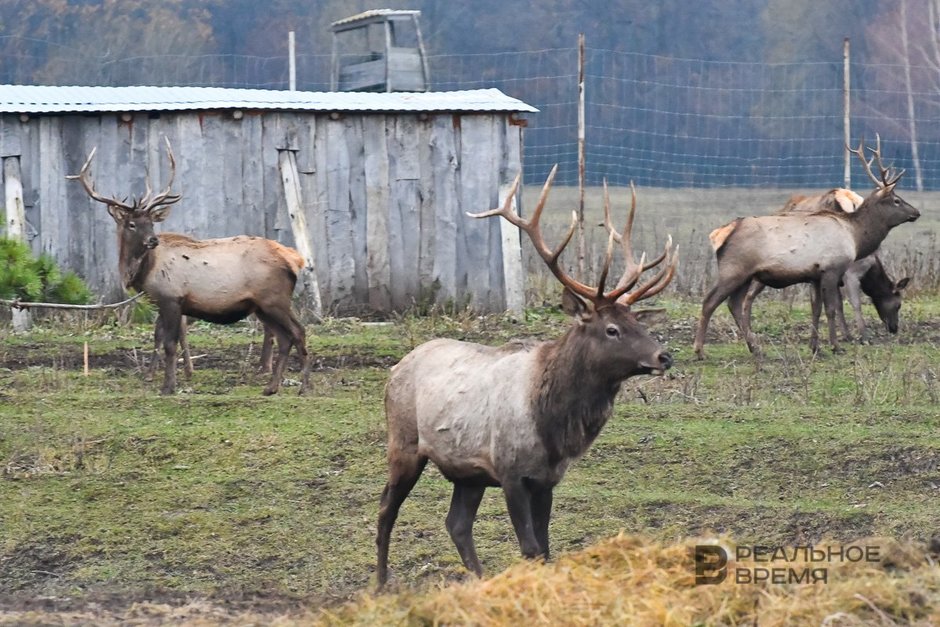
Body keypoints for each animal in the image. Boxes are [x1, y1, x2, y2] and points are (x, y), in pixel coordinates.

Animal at [70, 141, 312, 398]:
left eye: (151, 223)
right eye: (132, 224)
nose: (152, 240)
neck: (144, 270)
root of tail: (295, 260)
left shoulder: (171, 298)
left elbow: (169, 344)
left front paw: (168, 386)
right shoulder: (164, 303)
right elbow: (161, 338)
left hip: (275, 300)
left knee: (299, 332)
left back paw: (304, 387)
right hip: (262, 306)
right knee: (285, 337)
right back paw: (271, 387)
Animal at [374, 168, 676, 588]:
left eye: (638, 322)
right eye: (612, 329)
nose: (663, 356)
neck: (552, 425)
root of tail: (396, 368)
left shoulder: (546, 479)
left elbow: (546, 549)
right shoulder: (510, 472)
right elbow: (531, 548)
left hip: (467, 473)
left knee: (457, 524)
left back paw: (478, 580)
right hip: (403, 444)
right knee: (387, 508)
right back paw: (381, 581)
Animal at [740, 188, 912, 344]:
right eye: (898, 304)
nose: (894, 328)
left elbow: (837, 304)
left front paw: (846, 335)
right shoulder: (849, 275)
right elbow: (852, 304)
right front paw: (861, 337)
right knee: (748, 296)